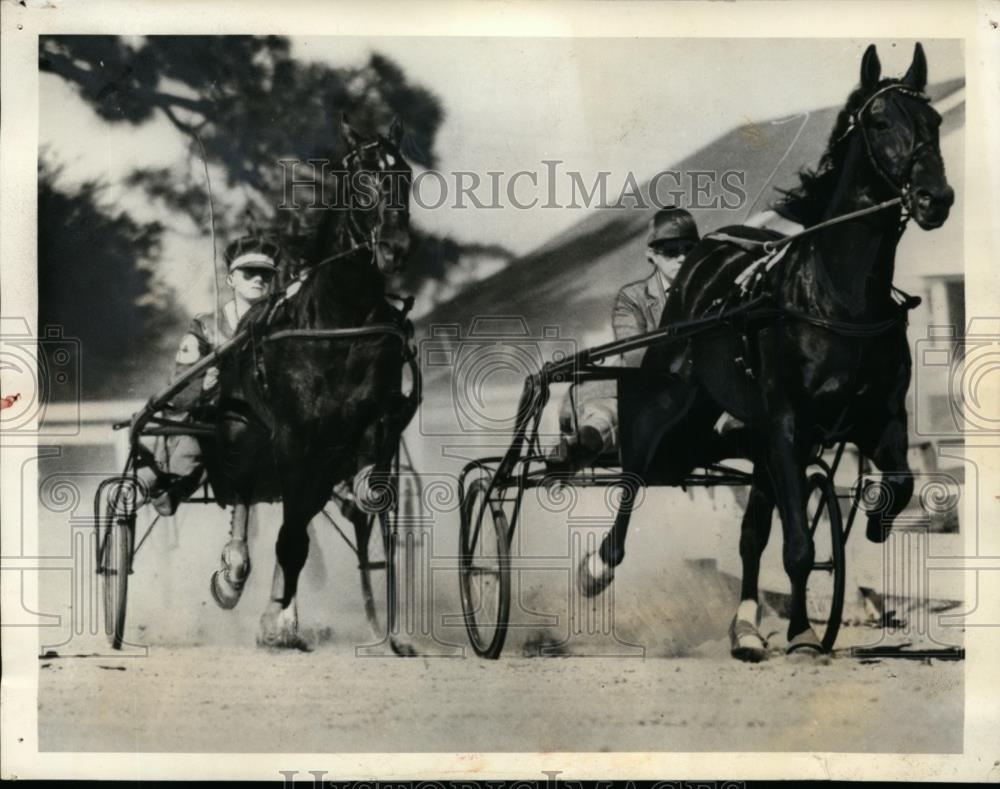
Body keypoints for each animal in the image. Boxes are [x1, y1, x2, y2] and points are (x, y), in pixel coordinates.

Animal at [209, 115, 416, 648]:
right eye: (360, 177)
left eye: (405, 174)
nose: (394, 248)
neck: (338, 322)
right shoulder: (292, 436)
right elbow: (291, 534)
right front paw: (277, 621)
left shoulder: (369, 425)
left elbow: (363, 493)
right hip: (242, 434)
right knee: (248, 498)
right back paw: (236, 578)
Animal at [580, 43, 952, 660]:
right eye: (879, 122)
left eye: (935, 121)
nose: (936, 198)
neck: (839, 298)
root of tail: (706, 254)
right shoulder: (785, 421)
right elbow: (799, 544)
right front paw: (802, 631)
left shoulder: (880, 417)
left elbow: (896, 484)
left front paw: (814, 607)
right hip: (671, 400)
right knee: (636, 474)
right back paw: (598, 567)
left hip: (750, 436)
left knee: (751, 533)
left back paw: (747, 628)